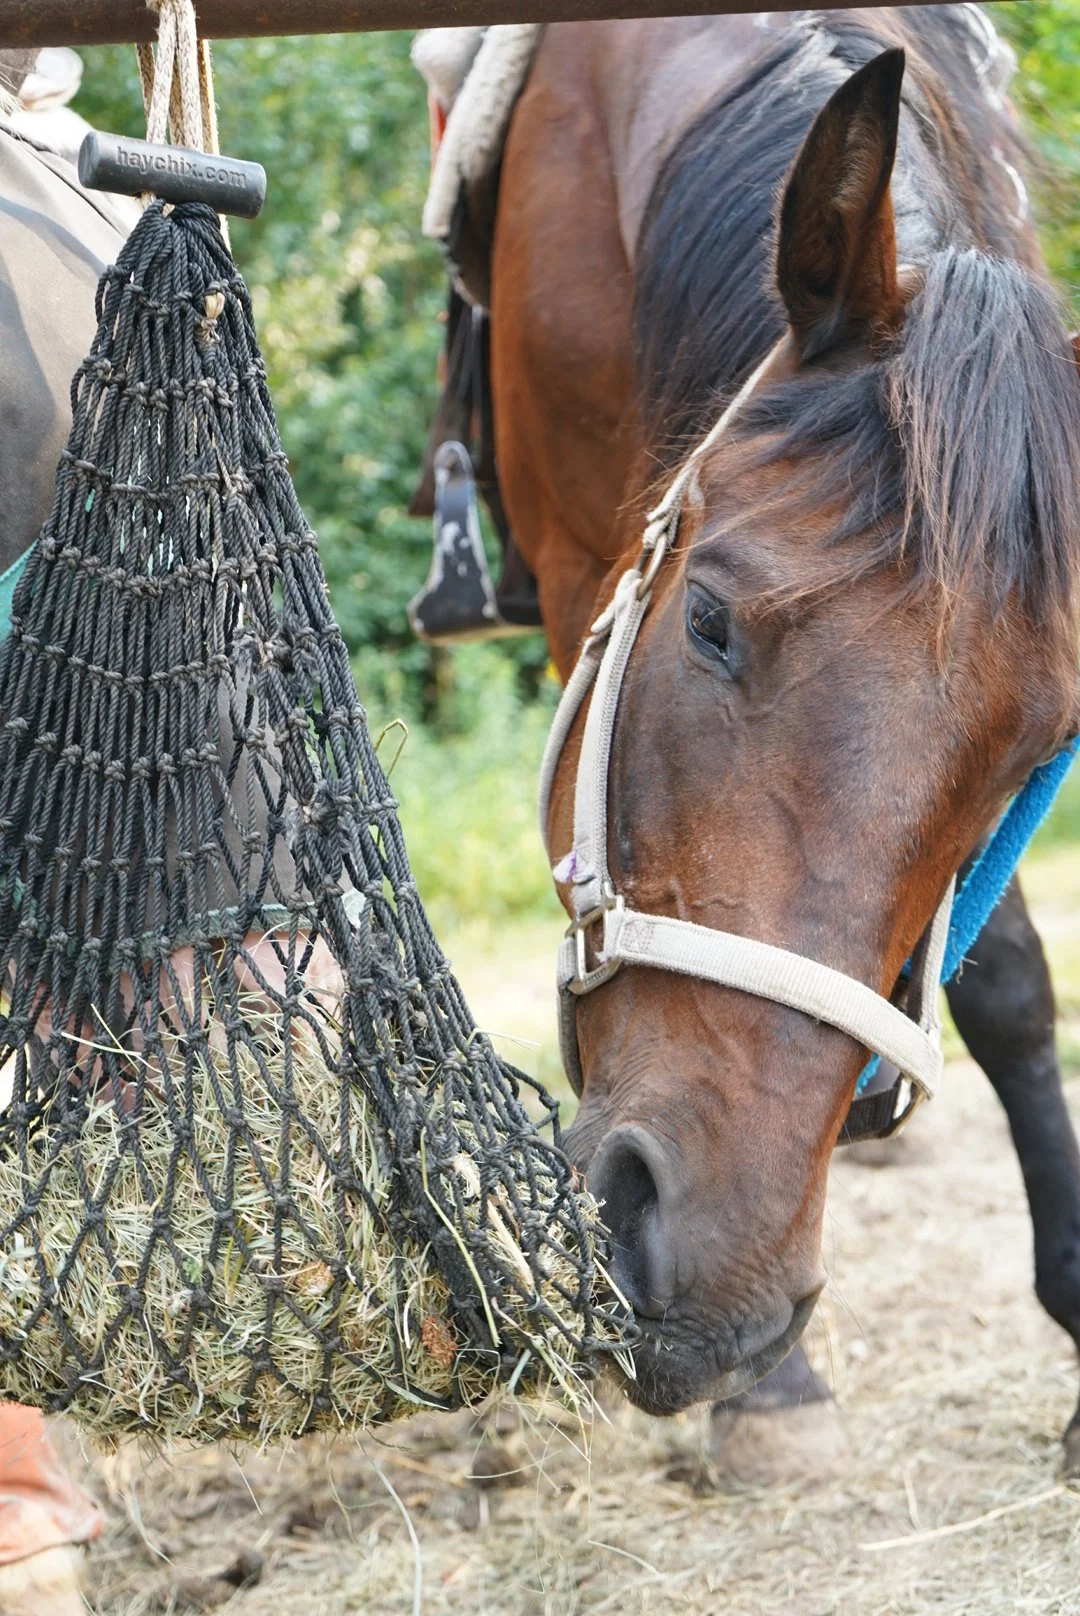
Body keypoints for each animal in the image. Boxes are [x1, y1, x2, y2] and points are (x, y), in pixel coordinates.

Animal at [488, 6, 1080, 1466]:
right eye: (706, 621)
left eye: (1037, 748)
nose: (723, 1293)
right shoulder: (577, 557)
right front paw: (778, 1393)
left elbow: (1007, 977)